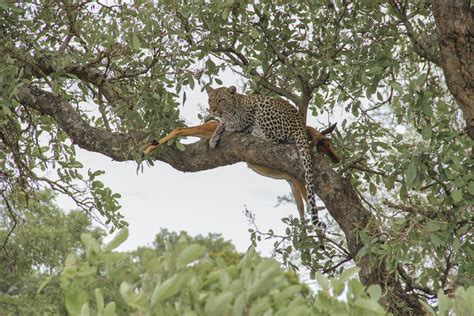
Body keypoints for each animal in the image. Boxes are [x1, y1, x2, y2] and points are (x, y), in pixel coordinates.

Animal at [206, 85, 328, 231]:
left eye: (221, 100)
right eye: (210, 100)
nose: (212, 110)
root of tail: (300, 126)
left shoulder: (250, 111)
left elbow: (230, 123)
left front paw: (226, 127)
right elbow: (221, 123)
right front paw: (213, 138)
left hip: (264, 107)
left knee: (274, 139)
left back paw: (254, 131)